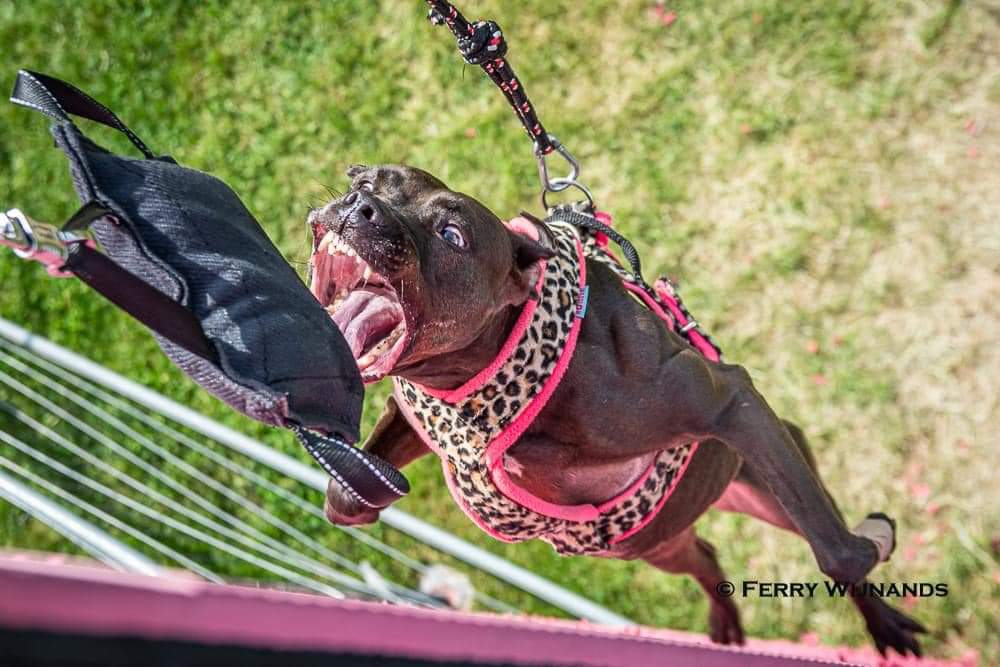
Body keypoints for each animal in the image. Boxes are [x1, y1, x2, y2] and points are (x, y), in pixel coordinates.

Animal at [308, 164, 924, 656]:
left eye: (452, 234)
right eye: (367, 181)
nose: (360, 205)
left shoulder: (730, 401)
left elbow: (841, 556)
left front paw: (876, 585)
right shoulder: (416, 415)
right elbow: (345, 489)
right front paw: (359, 502)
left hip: (770, 478)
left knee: (815, 523)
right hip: (661, 543)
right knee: (704, 553)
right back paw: (723, 619)